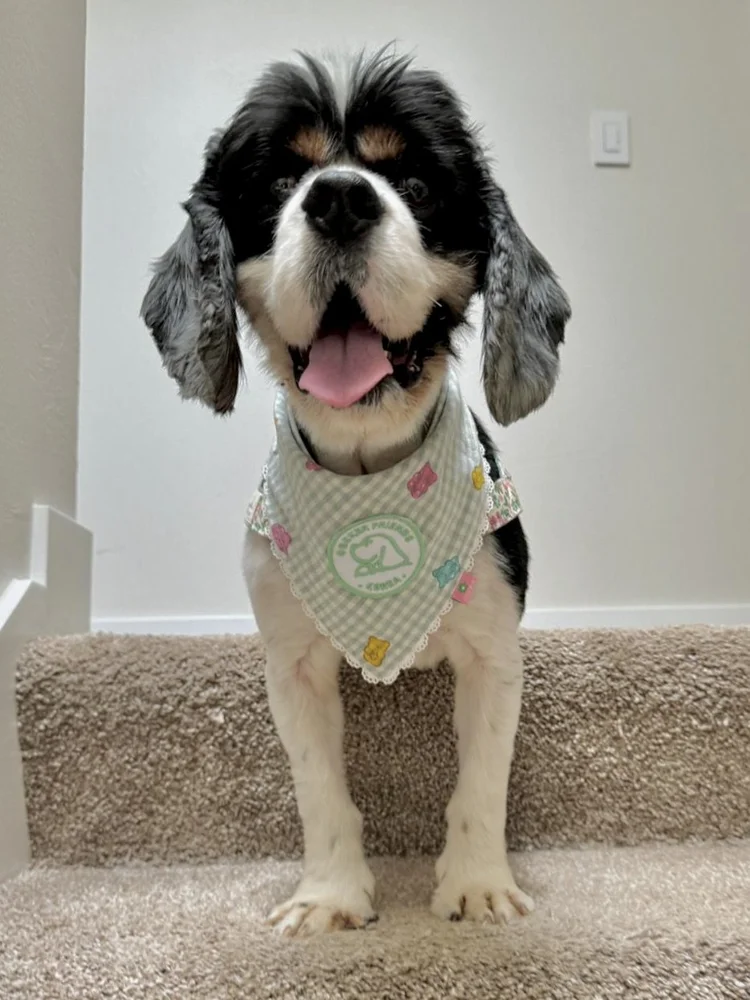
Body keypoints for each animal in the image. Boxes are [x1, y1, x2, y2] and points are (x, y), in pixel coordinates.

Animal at [142, 49, 570, 938]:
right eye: (280, 180)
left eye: (416, 182)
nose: (339, 198)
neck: (372, 473)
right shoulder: (291, 664)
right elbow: (319, 789)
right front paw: (330, 896)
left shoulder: (493, 651)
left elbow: (482, 779)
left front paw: (477, 886)